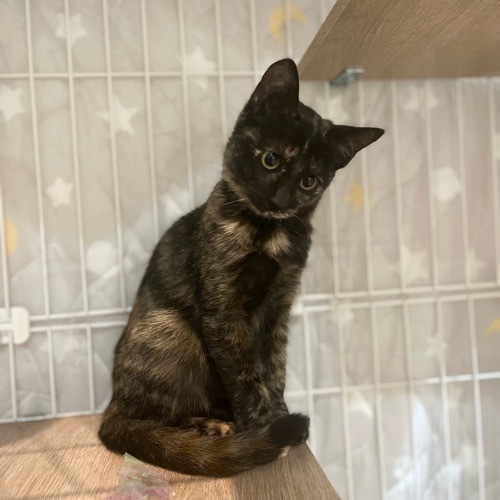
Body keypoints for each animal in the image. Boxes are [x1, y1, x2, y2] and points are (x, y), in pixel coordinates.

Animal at [99, 58, 384, 477]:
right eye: (270, 159)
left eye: (309, 181)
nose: (280, 198)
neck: (267, 234)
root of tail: (110, 405)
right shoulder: (223, 307)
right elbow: (243, 371)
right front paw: (264, 428)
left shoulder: (280, 305)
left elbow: (274, 367)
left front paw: (278, 415)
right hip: (172, 327)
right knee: (150, 418)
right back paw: (211, 426)